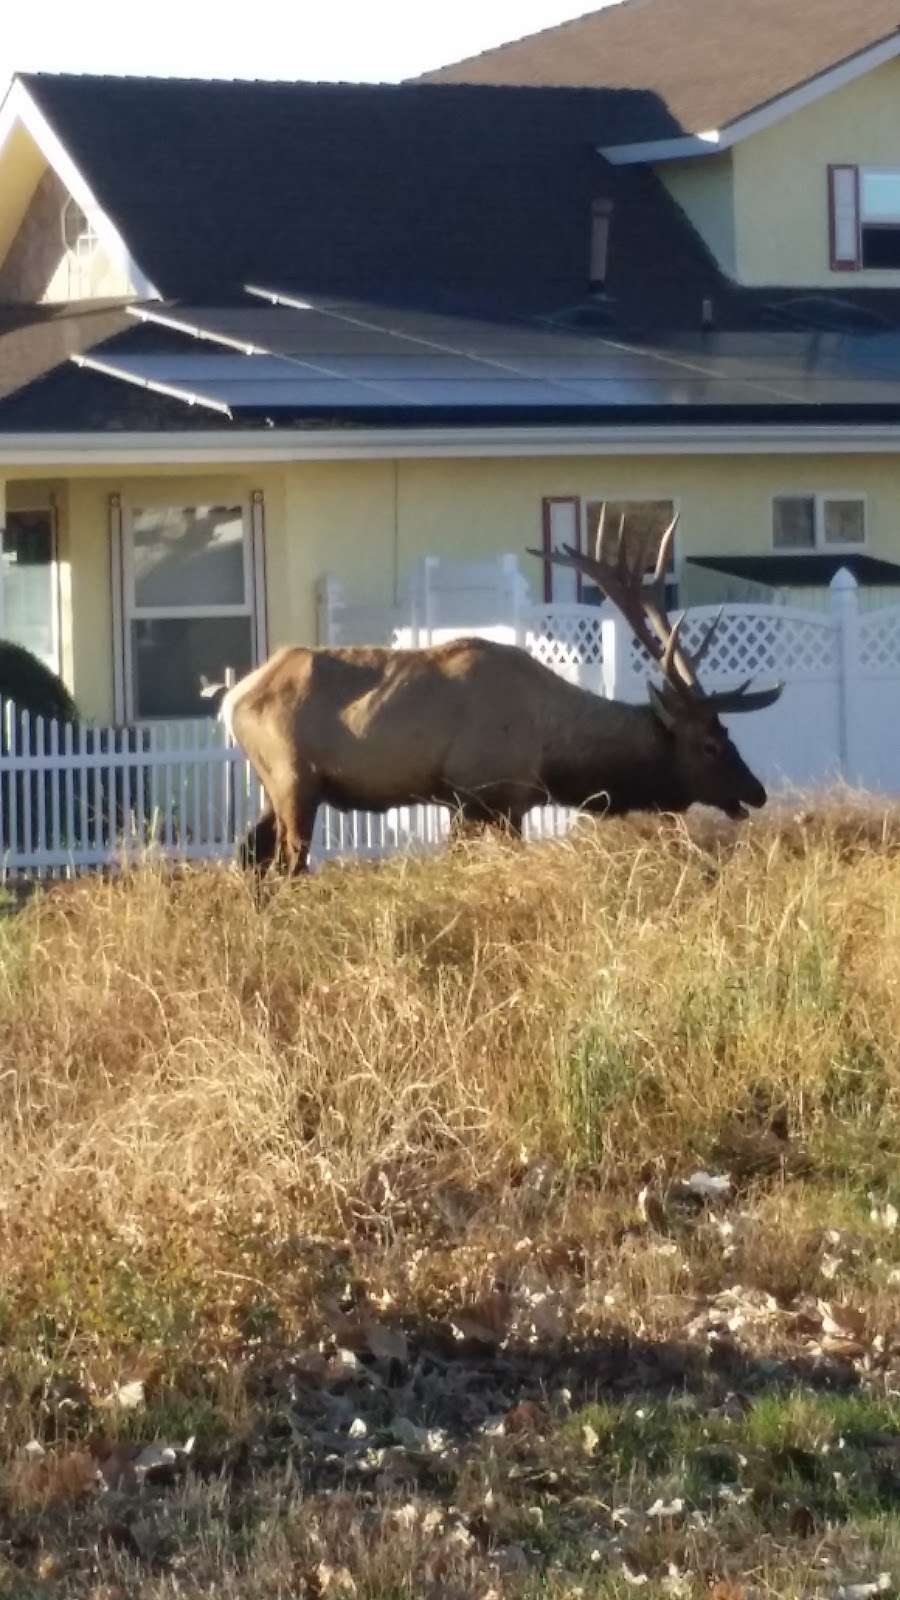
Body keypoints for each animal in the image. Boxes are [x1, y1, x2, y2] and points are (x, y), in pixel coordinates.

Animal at [216, 508, 778, 876]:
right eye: (710, 744)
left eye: (728, 732)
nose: (756, 791)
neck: (554, 751)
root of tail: (232, 698)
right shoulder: (482, 794)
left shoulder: (490, 803)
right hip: (292, 777)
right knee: (286, 864)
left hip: (274, 783)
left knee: (250, 857)